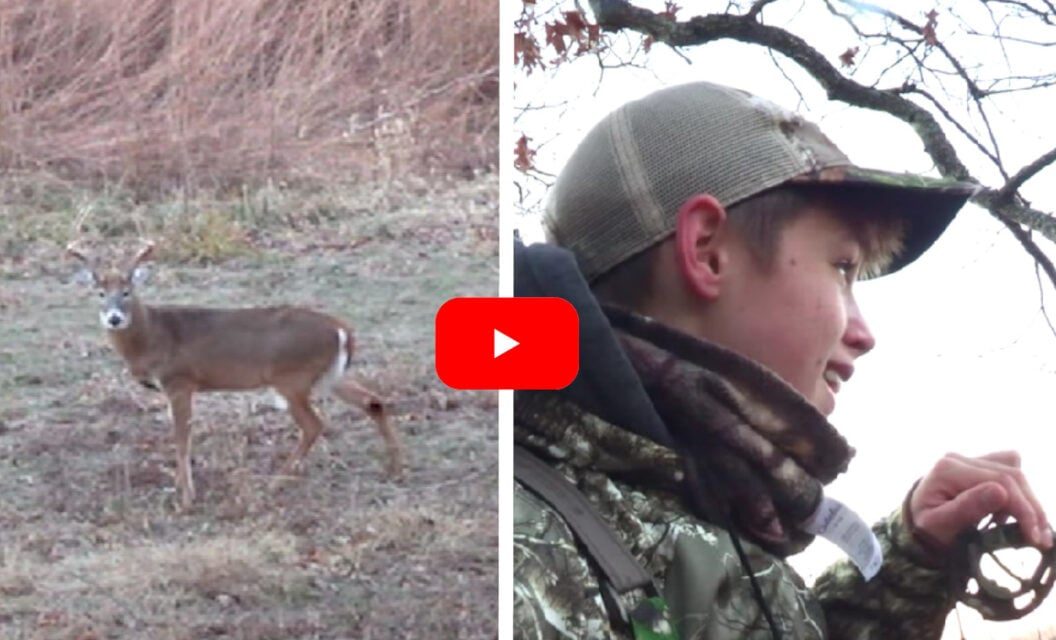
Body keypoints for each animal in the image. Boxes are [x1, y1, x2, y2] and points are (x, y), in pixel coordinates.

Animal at [66, 240, 403, 511]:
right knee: (373, 401)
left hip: (291, 378)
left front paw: (187, 497)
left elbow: (182, 437)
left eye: (127, 291)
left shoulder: (180, 381)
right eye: (100, 293)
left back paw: (276, 480)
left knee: (314, 424)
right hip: (329, 376)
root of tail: (342, 330)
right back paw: (394, 468)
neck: (153, 335)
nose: (114, 318)